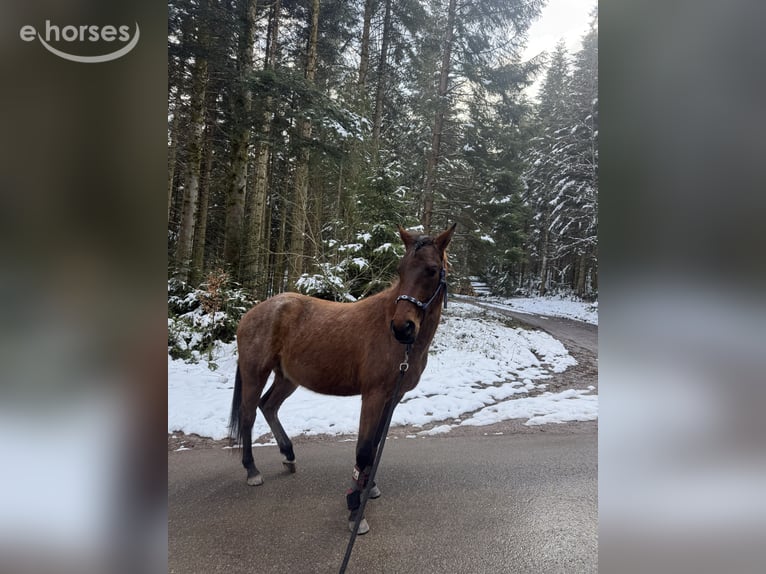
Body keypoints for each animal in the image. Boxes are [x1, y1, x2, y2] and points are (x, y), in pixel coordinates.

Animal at [229, 223, 456, 533]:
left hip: (288, 378)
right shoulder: (373, 395)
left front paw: (369, 488)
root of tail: (252, 313)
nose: (402, 327)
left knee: (268, 406)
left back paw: (288, 456)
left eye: (432, 270)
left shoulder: (393, 397)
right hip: (255, 373)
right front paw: (354, 509)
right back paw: (252, 470)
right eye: (400, 269)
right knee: (249, 414)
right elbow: (363, 449)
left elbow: (374, 444)